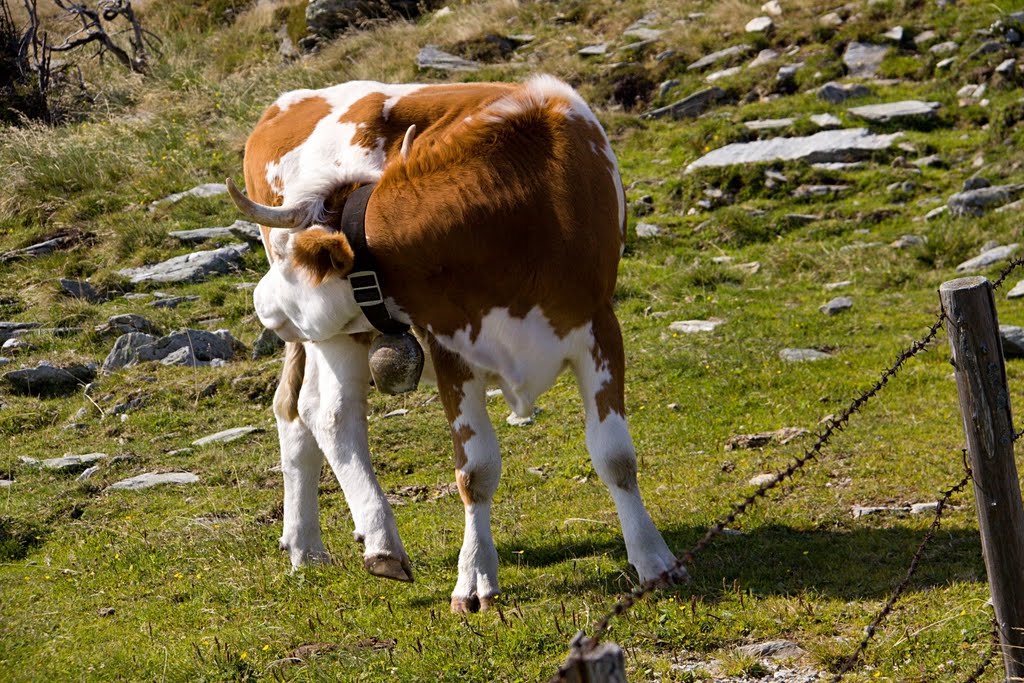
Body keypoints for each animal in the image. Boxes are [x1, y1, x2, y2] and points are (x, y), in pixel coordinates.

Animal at [228, 76, 684, 614]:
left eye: (293, 257)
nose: (260, 300)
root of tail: (284, 104)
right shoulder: (451, 351)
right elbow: (476, 471)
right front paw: (475, 579)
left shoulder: (600, 328)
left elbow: (616, 457)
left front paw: (653, 559)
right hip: (337, 335)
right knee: (328, 414)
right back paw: (379, 542)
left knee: (297, 411)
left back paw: (308, 547)